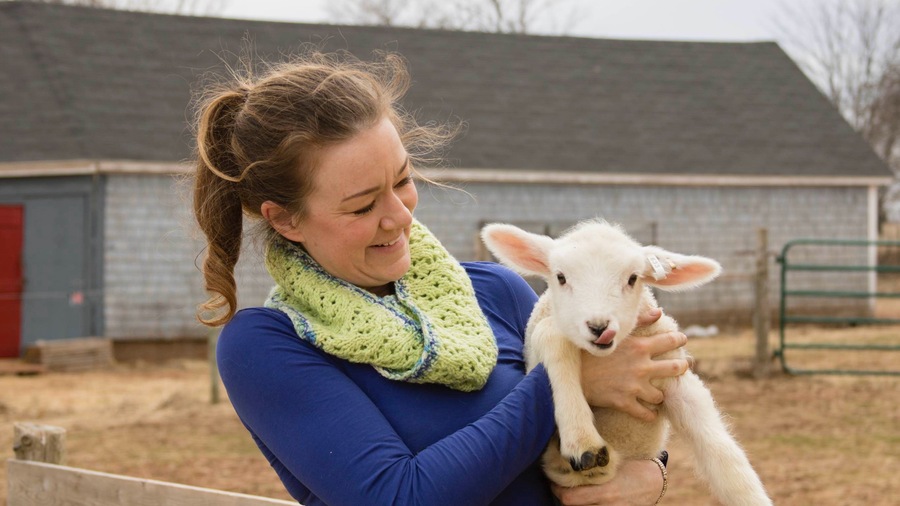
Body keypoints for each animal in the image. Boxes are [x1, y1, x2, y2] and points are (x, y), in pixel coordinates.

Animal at [482, 220, 768, 506]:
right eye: (560, 277)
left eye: (632, 278)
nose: (600, 327)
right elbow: (551, 333)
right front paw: (581, 439)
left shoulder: (675, 380)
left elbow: (724, 458)